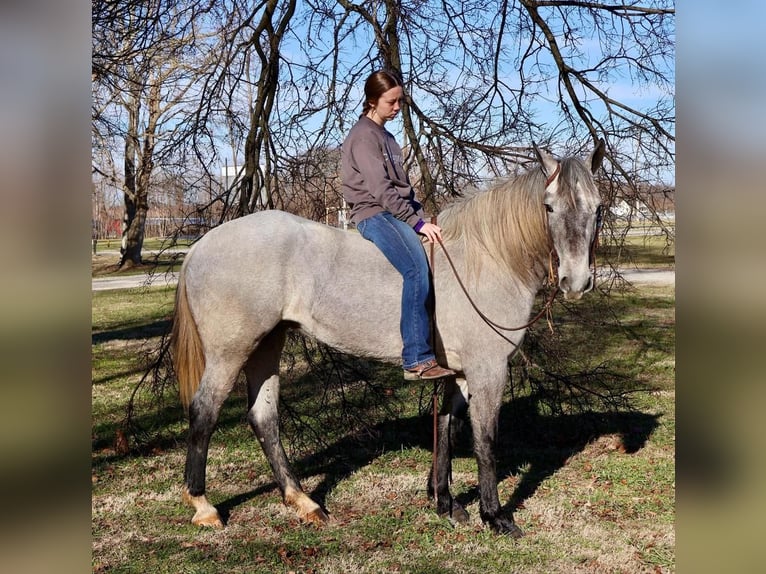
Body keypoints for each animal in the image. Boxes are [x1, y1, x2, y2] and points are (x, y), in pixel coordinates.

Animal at [172, 142, 608, 536]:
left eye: (598, 207)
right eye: (549, 207)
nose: (575, 282)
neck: (488, 258)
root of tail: (200, 246)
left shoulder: (457, 373)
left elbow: (446, 429)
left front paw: (445, 503)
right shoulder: (488, 370)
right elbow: (485, 441)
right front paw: (495, 516)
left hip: (267, 346)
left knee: (264, 418)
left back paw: (303, 501)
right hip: (230, 352)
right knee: (205, 412)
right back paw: (204, 506)